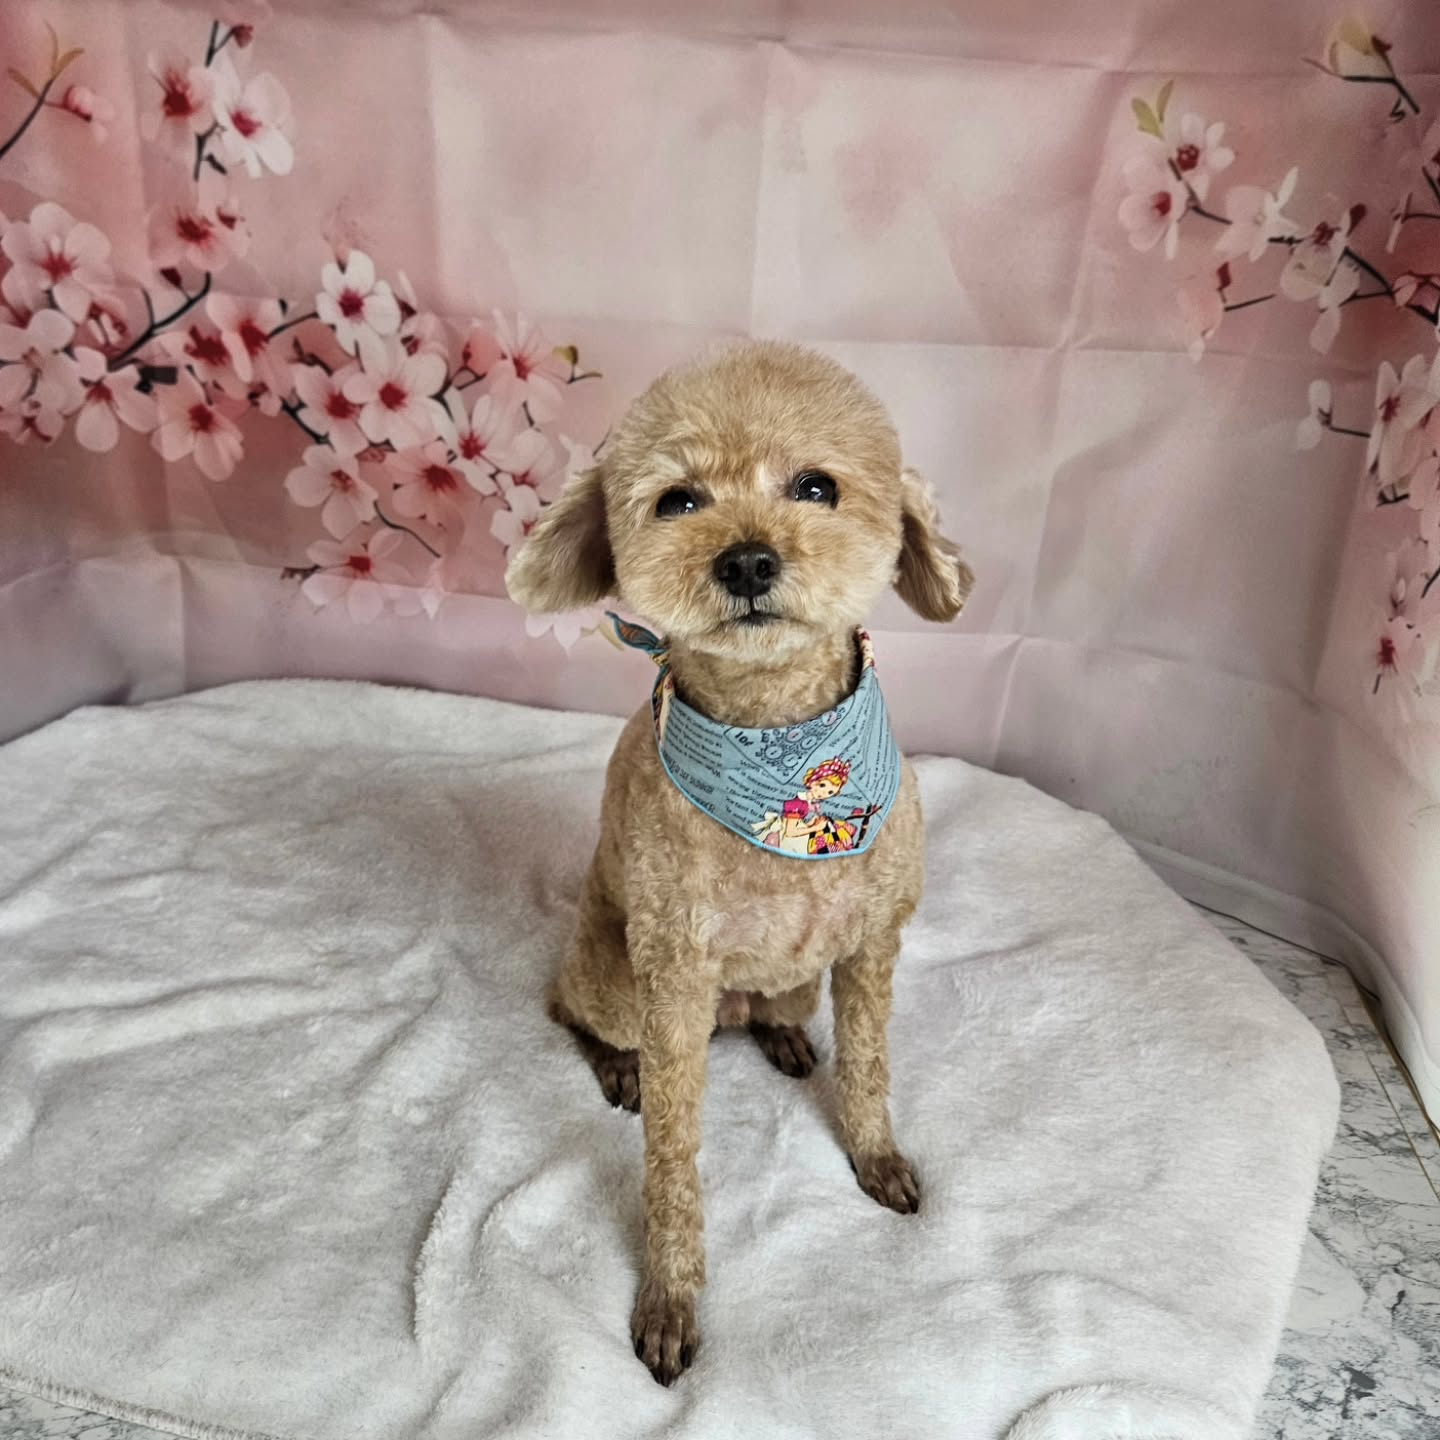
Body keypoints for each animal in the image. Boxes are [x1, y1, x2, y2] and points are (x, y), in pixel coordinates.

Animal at [504, 340, 974, 1385]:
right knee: (569, 1011)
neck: (782, 758)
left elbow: (871, 1067)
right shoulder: (675, 977)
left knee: (773, 1008)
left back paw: (784, 1037)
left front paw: (876, 1157)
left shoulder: (873, 944)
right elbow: (672, 1159)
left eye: (817, 486)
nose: (749, 558)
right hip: (612, 978)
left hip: (788, 979)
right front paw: (670, 1296)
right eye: (679, 500)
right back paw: (617, 1067)